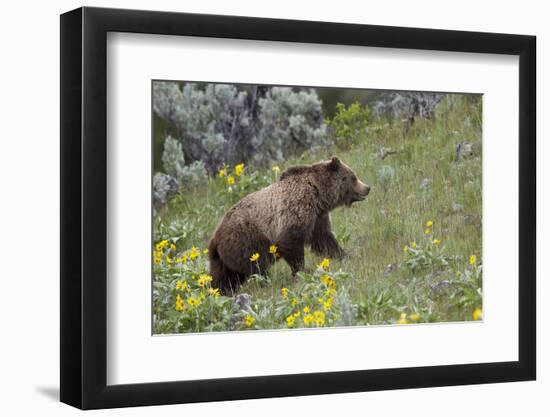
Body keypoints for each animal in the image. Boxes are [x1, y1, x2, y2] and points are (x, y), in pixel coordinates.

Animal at [209, 155, 374, 292]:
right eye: (353, 177)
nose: (367, 188)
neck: (318, 196)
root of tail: (215, 237)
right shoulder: (294, 211)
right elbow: (291, 244)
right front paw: (301, 272)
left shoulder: (318, 218)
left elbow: (324, 240)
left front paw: (345, 255)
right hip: (245, 242)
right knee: (256, 268)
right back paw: (265, 282)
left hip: (224, 258)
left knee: (224, 277)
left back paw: (222, 291)